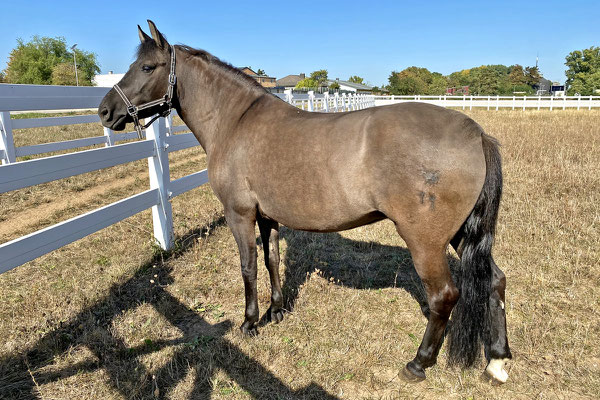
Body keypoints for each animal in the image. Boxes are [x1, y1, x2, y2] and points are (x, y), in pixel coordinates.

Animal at [98, 21, 510, 384]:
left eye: (147, 67)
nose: (105, 111)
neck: (236, 121)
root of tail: (476, 133)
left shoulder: (239, 215)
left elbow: (248, 267)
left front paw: (250, 322)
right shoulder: (267, 216)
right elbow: (272, 259)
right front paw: (277, 310)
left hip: (425, 241)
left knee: (444, 297)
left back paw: (418, 363)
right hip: (461, 235)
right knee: (495, 282)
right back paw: (497, 360)